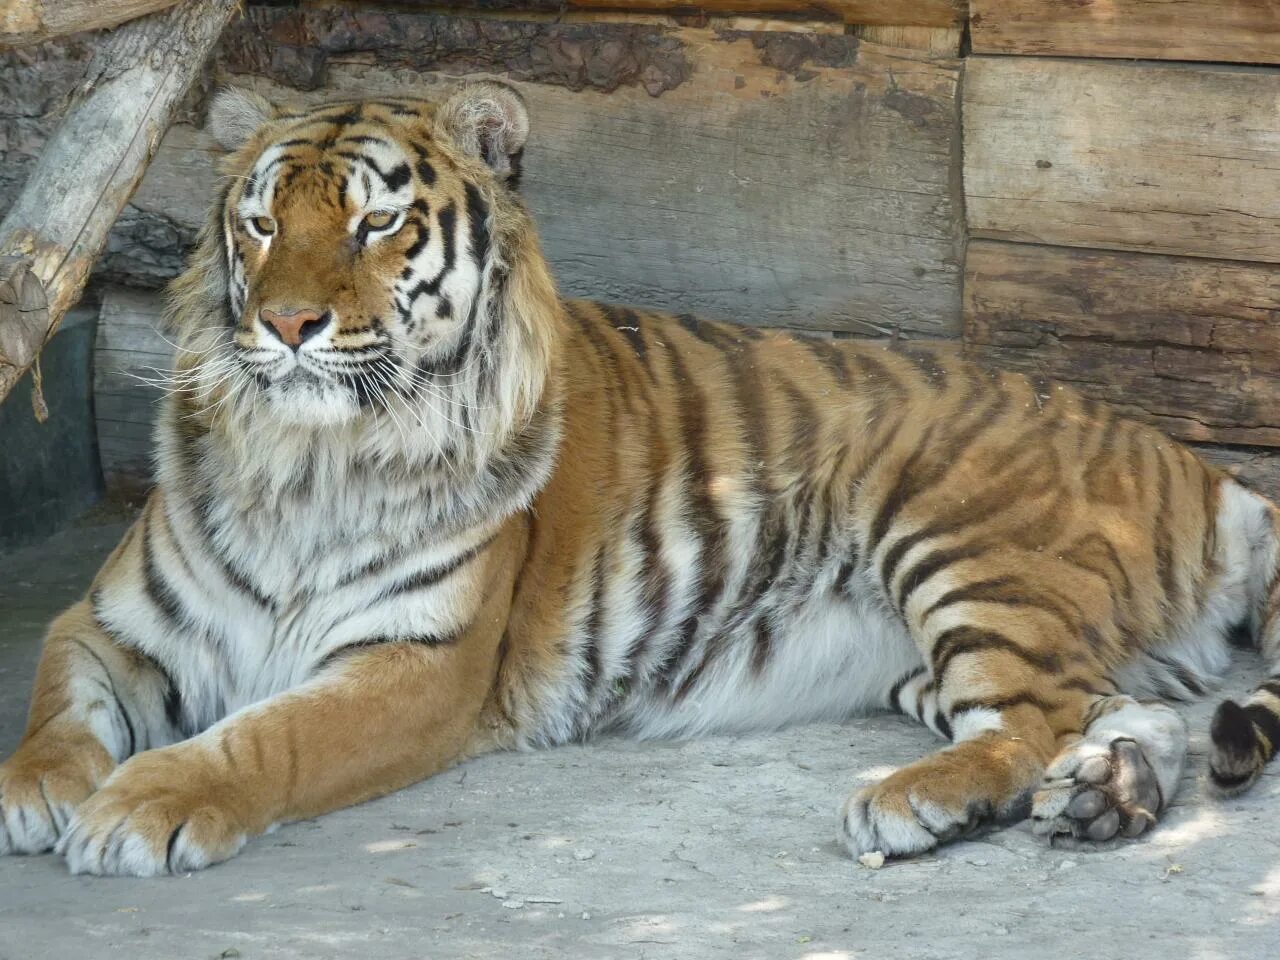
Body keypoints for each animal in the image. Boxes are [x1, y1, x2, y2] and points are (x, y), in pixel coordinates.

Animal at [2, 80, 1280, 880]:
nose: (286, 324)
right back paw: (1106, 797)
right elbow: (55, 704)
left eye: (374, 224)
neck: (306, 461)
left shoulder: (413, 664)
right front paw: (39, 794)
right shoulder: (108, 623)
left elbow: (262, 741)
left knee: (1031, 716)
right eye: (263, 223)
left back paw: (916, 801)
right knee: (1132, 710)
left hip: (956, 543)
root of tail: (1187, 460)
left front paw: (141, 806)